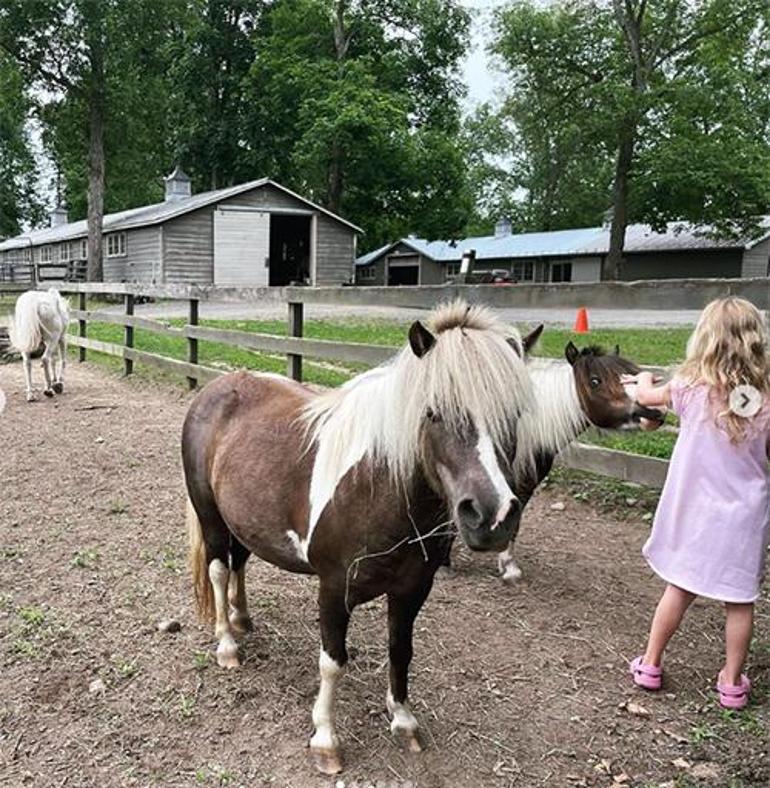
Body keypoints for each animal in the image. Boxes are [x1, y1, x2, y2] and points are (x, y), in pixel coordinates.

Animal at [182, 304, 536, 776]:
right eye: (432, 412)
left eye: (514, 413)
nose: (492, 516)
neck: (377, 487)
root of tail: (215, 389)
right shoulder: (334, 588)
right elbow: (333, 662)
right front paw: (326, 740)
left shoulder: (413, 588)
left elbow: (401, 649)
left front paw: (403, 720)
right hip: (211, 517)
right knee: (220, 570)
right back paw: (227, 643)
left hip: (243, 521)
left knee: (239, 562)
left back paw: (242, 619)